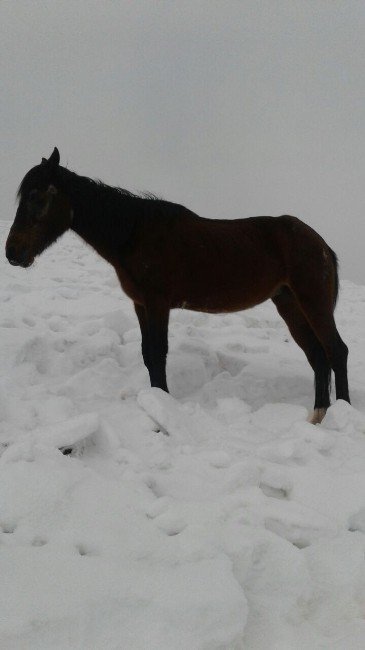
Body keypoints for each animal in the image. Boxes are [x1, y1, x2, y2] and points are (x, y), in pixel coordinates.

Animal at [4, 147, 346, 422]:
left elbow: (158, 353)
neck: (134, 234)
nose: (12, 252)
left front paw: (163, 406)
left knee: (335, 351)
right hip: (289, 304)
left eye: (36, 197)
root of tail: (321, 245)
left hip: (312, 302)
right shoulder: (140, 304)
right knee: (318, 356)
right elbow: (147, 353)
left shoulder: (158, 303)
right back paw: (318, 416)